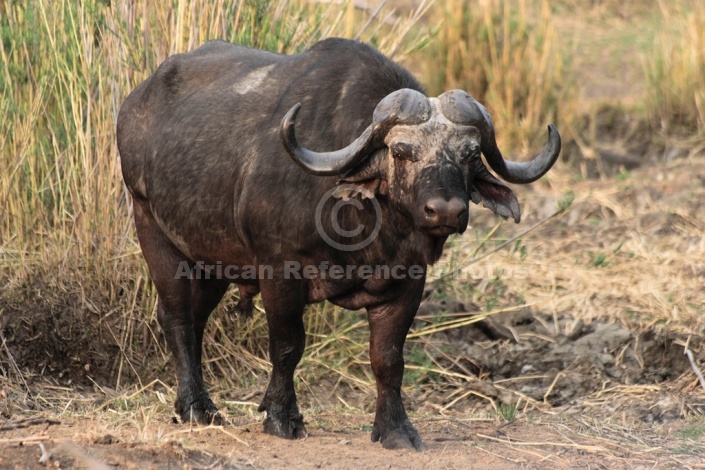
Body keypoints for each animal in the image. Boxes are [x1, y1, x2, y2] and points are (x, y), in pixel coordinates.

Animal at [117, 38, 560, 450]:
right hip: (154, 232)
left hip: (211, 261)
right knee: (176, 316)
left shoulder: (407, 285)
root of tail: (135, 103)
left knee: (196, 319)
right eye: (402, 151)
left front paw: (395, 429)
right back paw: (197, 408)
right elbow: (287, 347)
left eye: (469, 154)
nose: (446, 211)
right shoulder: (280, 274)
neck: (367, 230)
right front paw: (282, 417)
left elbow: (389, 358)